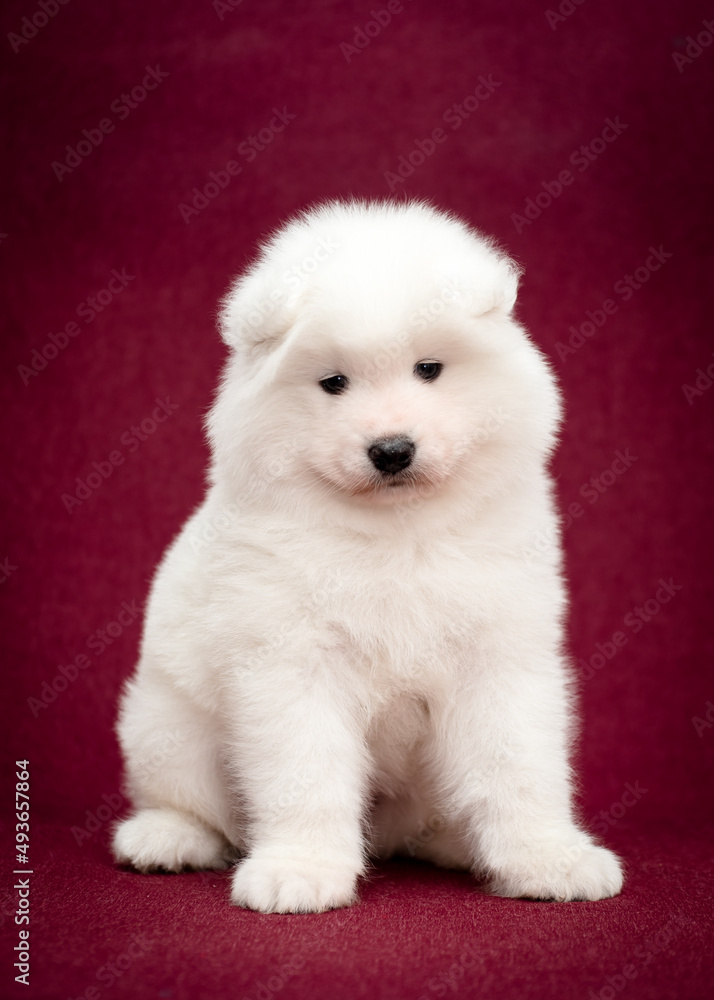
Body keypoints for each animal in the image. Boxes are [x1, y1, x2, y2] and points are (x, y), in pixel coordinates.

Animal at [112, 199, 624, 912]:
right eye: (333, 383)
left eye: (429, 369)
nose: (391, 449)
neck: (397, 533)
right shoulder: (292, 661)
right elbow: (306, 774)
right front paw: (300, 870)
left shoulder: (499, 653)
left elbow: (518, 766)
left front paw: (549, 859)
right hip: (168, 726)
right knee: (190, 803)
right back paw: (164, 839)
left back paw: (459, 845)